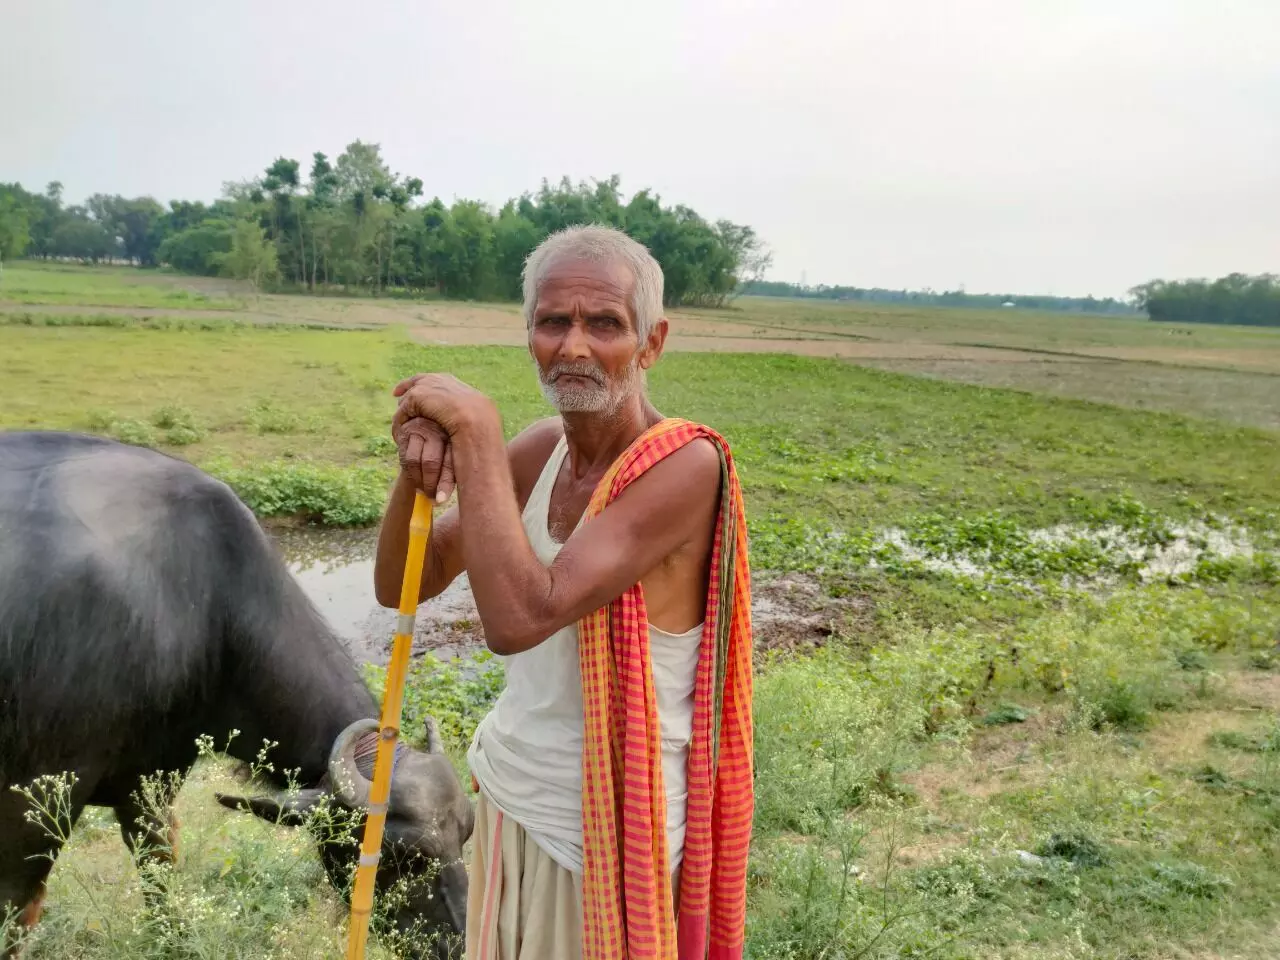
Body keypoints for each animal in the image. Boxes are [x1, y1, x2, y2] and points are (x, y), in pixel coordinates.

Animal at [0, 432, 476, 957]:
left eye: (466, 834)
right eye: (400, 855)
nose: (460, 940)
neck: (197, 607)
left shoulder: (150, 782)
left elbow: (157, 865)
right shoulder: (34, 799)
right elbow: (17, 909)